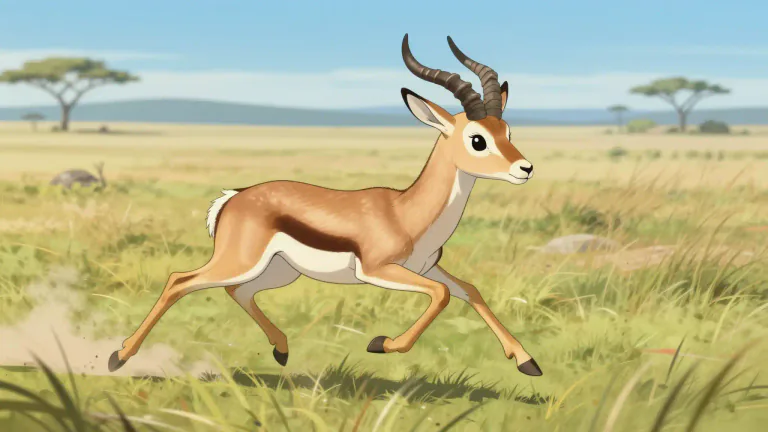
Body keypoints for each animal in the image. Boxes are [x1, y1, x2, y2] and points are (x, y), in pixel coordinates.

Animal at [109, 34, 542, 377]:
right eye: (477, 139)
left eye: (506, 132)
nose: (525, 168)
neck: (405, 211)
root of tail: (235, 197)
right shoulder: (379, 270)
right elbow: (441, 295)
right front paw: (381, 343)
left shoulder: (427, 267)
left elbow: (469, 290)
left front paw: (527, 362)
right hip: (240, 261)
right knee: (179, 280)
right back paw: (119, 356)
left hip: (279, 271)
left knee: (237, 292)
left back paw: (282, 351)